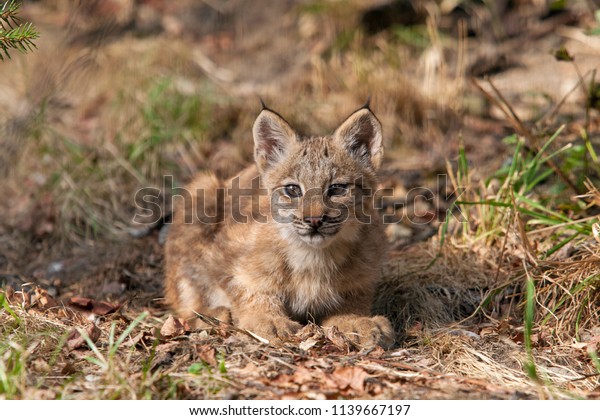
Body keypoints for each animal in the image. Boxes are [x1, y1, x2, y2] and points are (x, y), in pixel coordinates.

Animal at [166, 104, 396, 348]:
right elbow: (246, 288)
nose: (314, 220)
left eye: (337, 189)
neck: (312, 255)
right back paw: (212, 314)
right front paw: (267, 319)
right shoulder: (225, 253)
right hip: (203, 190)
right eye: (292, 190)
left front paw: (354, 320)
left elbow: (353, 297)